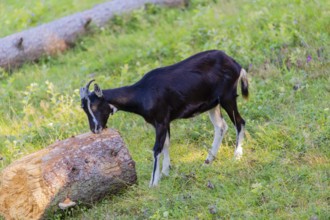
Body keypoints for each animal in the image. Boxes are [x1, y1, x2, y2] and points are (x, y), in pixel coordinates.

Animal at [80, 50, 249, 187]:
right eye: (83, 108)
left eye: (95, 106)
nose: (95, 129)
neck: (142, 94)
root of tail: (235, 64)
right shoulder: (164, 122)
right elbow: (166, 144)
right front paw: (165, 173)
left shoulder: (160, 121)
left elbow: (156, 148)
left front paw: (153, 183)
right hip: (213, 104)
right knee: (221, 127)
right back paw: (208, 161)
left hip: (228, 96)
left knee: (239, 122)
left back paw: (236, 156)